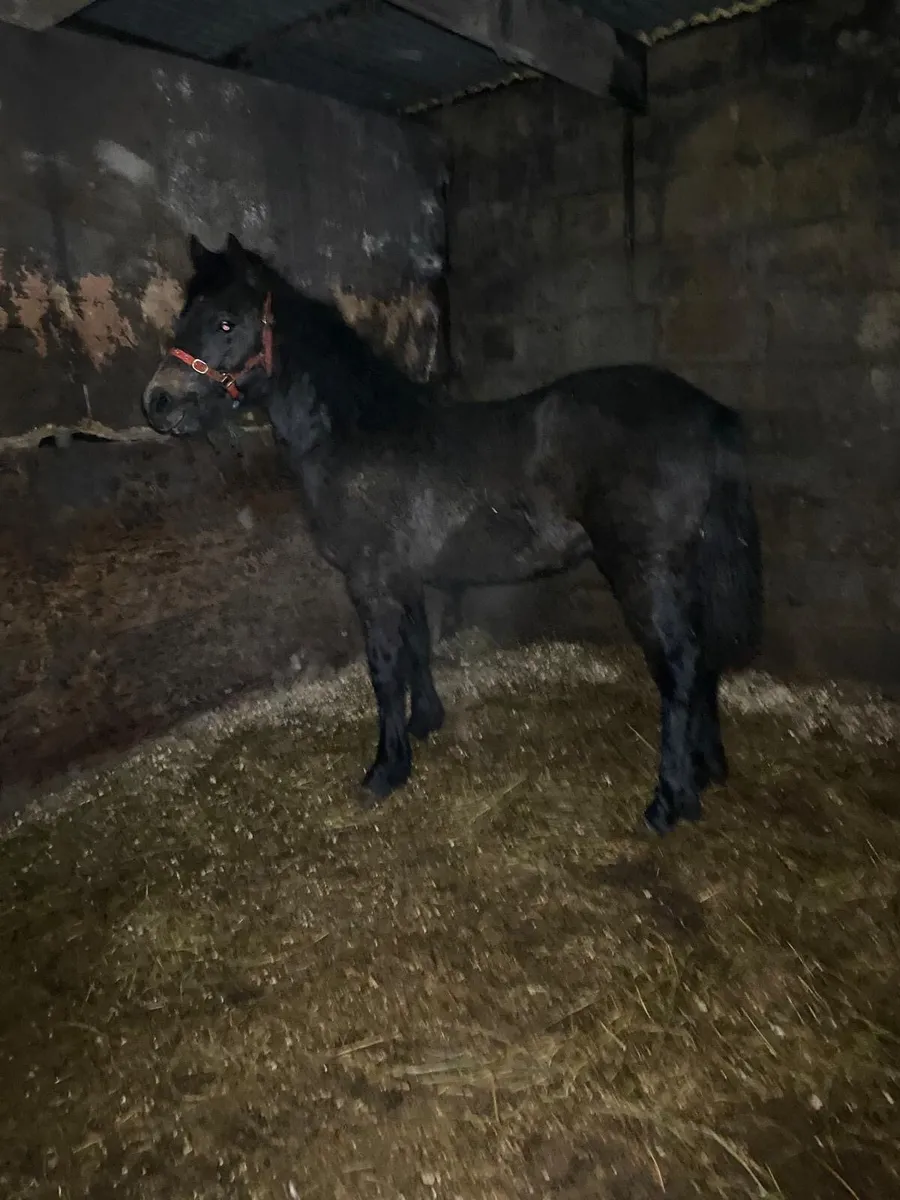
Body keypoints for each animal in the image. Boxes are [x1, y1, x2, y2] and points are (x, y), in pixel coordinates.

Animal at [142, 233, 763, 835]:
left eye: (227, 322)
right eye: (184, 314)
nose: (158, 403)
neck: (357, 431)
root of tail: (708, 415)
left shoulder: (371, 581)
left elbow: (384, 668)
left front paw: (386, 769)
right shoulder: (405, 575)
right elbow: (418, 646)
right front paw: (425, 723)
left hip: (644, 572)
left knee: (678, 667)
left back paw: (668, 802)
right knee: (701, 659)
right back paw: (705, 771)